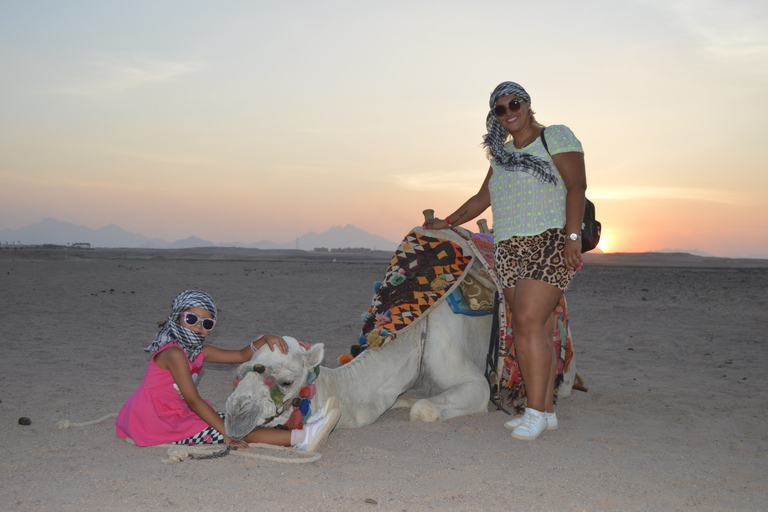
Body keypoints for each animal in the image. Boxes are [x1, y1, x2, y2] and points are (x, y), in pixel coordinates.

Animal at [225, 227, 572, 436]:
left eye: (286, 382)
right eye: (240, 372)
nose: (233, 412)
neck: (415, 336)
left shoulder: (474, 382)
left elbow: (424, 407)